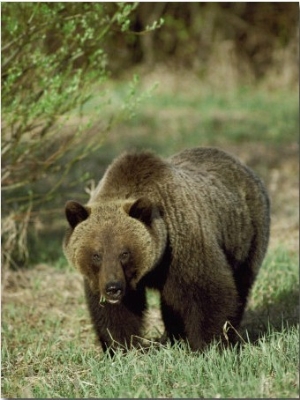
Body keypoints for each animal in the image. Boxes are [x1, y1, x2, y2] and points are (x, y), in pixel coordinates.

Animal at [62, 147, 270, 354]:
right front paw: (121, 347)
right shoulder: (103, 279)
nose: (113, 288)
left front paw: (211, 345)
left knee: (241, 284)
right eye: (96, 255)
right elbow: (114, 313)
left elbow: (208, 294)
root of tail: (239, 163)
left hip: (246, 237)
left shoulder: (183, 248)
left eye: (124, 253)